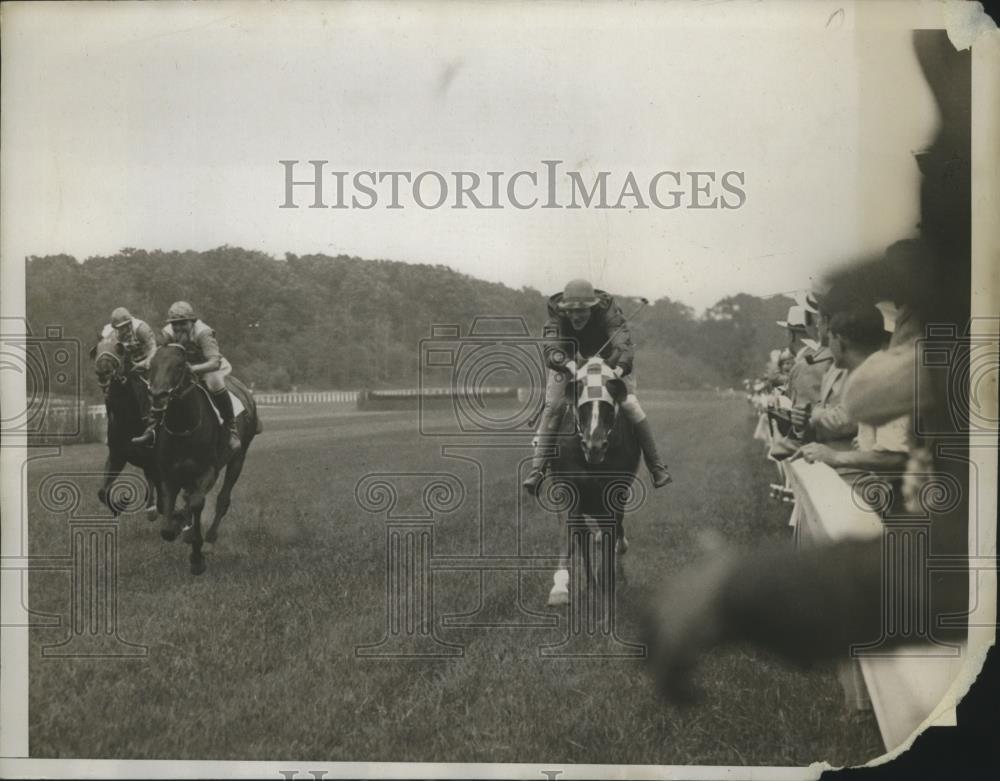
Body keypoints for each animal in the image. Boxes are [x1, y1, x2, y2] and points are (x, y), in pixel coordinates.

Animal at [90, 334, 160, 520]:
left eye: (119, 349)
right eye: (96, 350)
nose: (103, 372)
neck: (128, 419)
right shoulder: (117, 455)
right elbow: (102, 492)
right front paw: (121, 503)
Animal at [146, 342, 262, 572]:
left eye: (179, 366)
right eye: (152, 364)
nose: (158, 396)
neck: (183, 427)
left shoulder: (207, 470)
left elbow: (197, 503)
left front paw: (197, 557)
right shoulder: (169, 474)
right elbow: (168, 519)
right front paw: (177, 525)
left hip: (238, 457)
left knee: (222, 498)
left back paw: (210, 537)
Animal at [540, 356, 640, 608]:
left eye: (608, 406)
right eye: (582, 406)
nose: (594, 446)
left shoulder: (614, 494)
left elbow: (610, 533)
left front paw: (607, 580)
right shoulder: (568, 491)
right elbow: (570, 535)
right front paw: (561, 589)